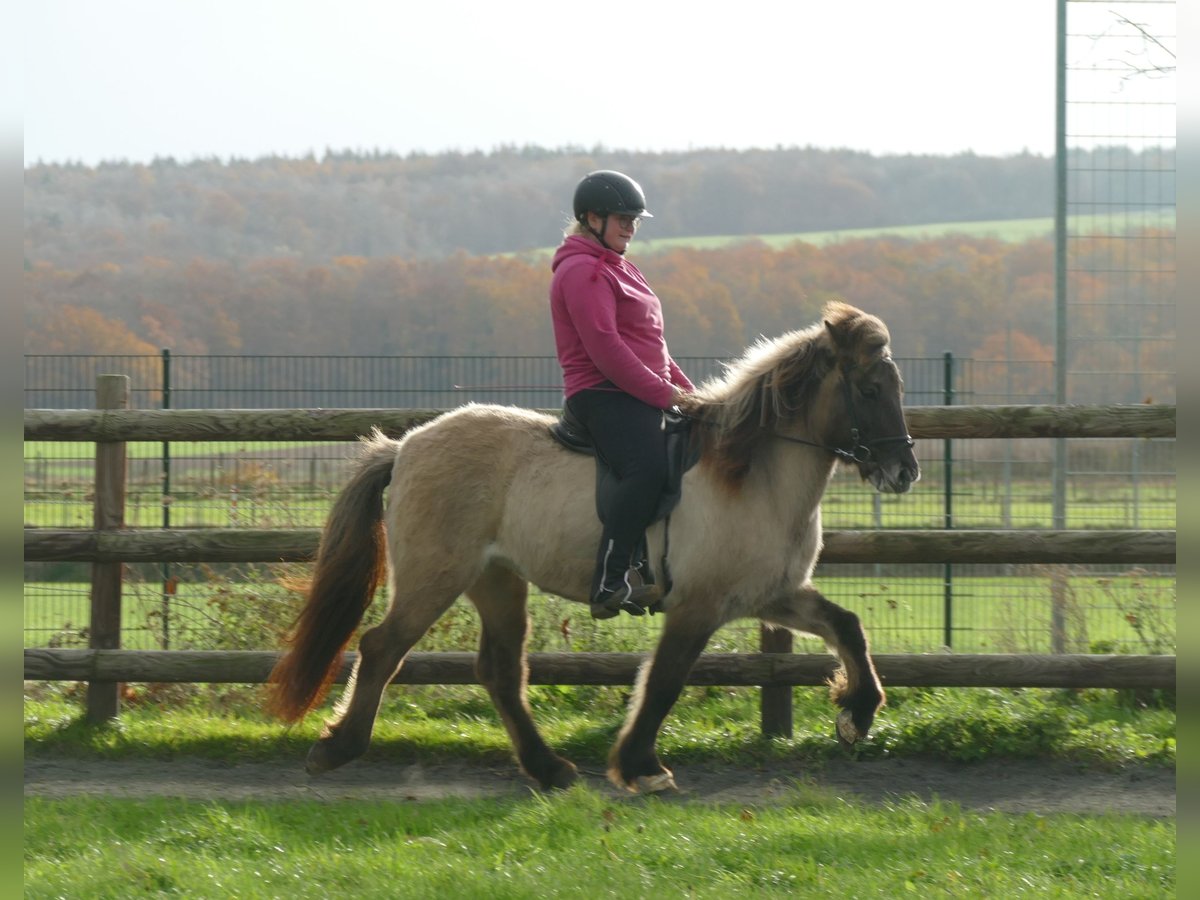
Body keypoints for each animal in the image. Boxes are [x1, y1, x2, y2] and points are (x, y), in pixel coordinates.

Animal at [265, 303, 916, 796]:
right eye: (870, 388)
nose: (904, 472)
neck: (752, 473)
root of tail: (404, 447)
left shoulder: (771, 595)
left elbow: (848, 626)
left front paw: (856, 712)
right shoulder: (698, 605)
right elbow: (665, 680)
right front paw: (641, 767)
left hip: (496, 580)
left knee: (499, 670)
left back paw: (549, 769)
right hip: (435, 576)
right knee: (382, 648)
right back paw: (337, 748)